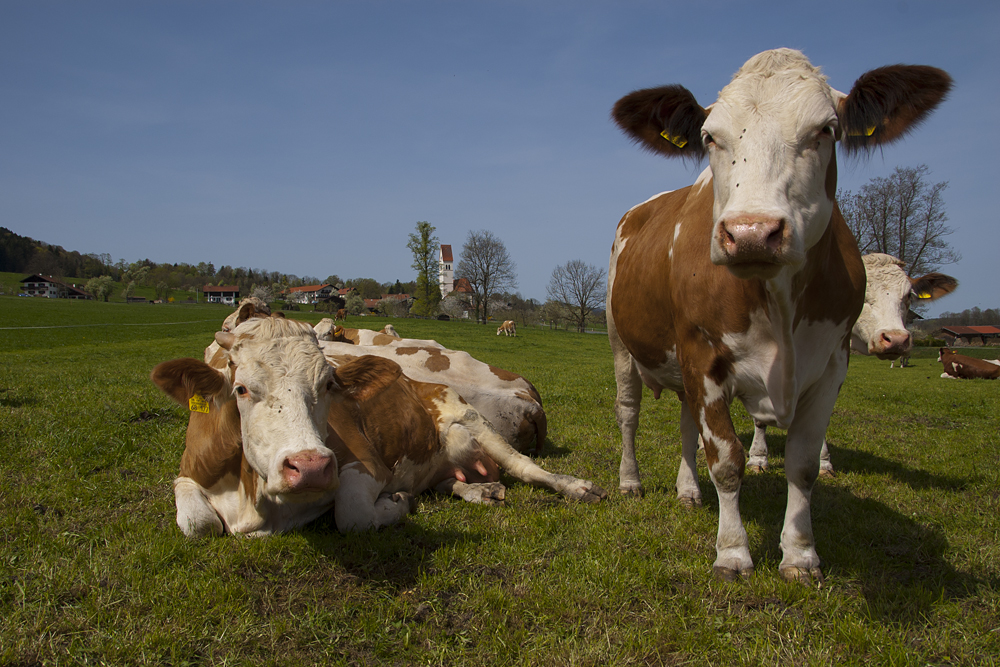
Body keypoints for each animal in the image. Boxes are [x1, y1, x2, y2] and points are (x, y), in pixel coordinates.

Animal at [152, 318, 604, 536]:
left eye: (328, 384)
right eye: (241, 388)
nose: (310, 467)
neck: (255, 501)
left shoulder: (364, 465)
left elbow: (352, 515)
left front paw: (398, 503)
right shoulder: (188, 473)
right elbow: (198, 524)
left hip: (475, 422)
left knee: (529, 469)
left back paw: (578, 488)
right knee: (452, 482)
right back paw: (482, 490)